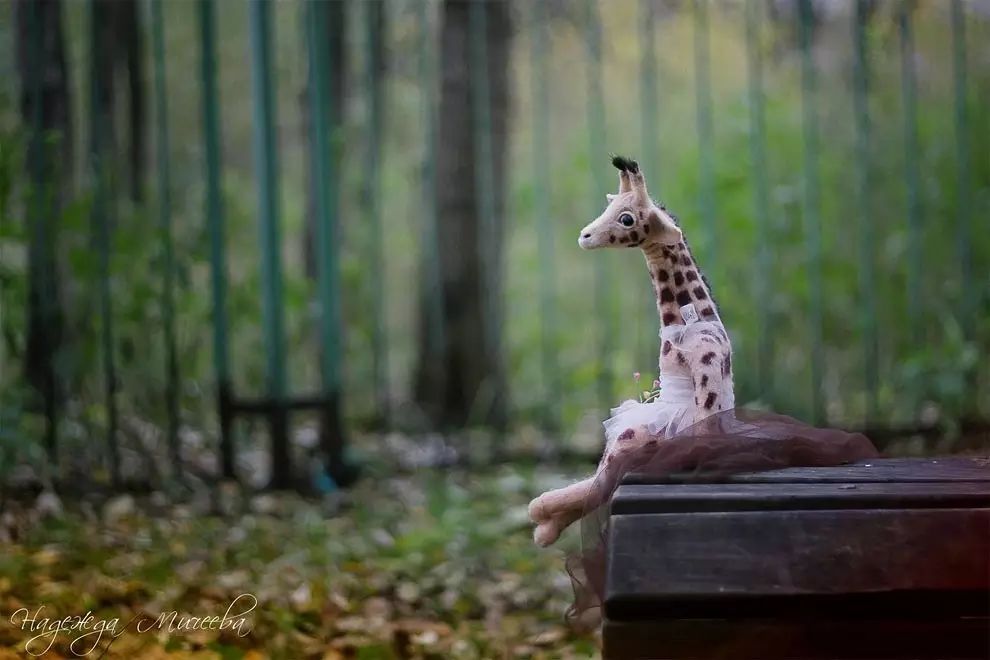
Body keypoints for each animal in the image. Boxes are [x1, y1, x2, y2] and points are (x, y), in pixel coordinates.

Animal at [532, 155, 732, 548]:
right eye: (608, 206)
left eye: (627, 219)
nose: (585, 235)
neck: (691, 319)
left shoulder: (706, 364)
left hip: (628, 441)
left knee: (596, 488)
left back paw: (542, 524)